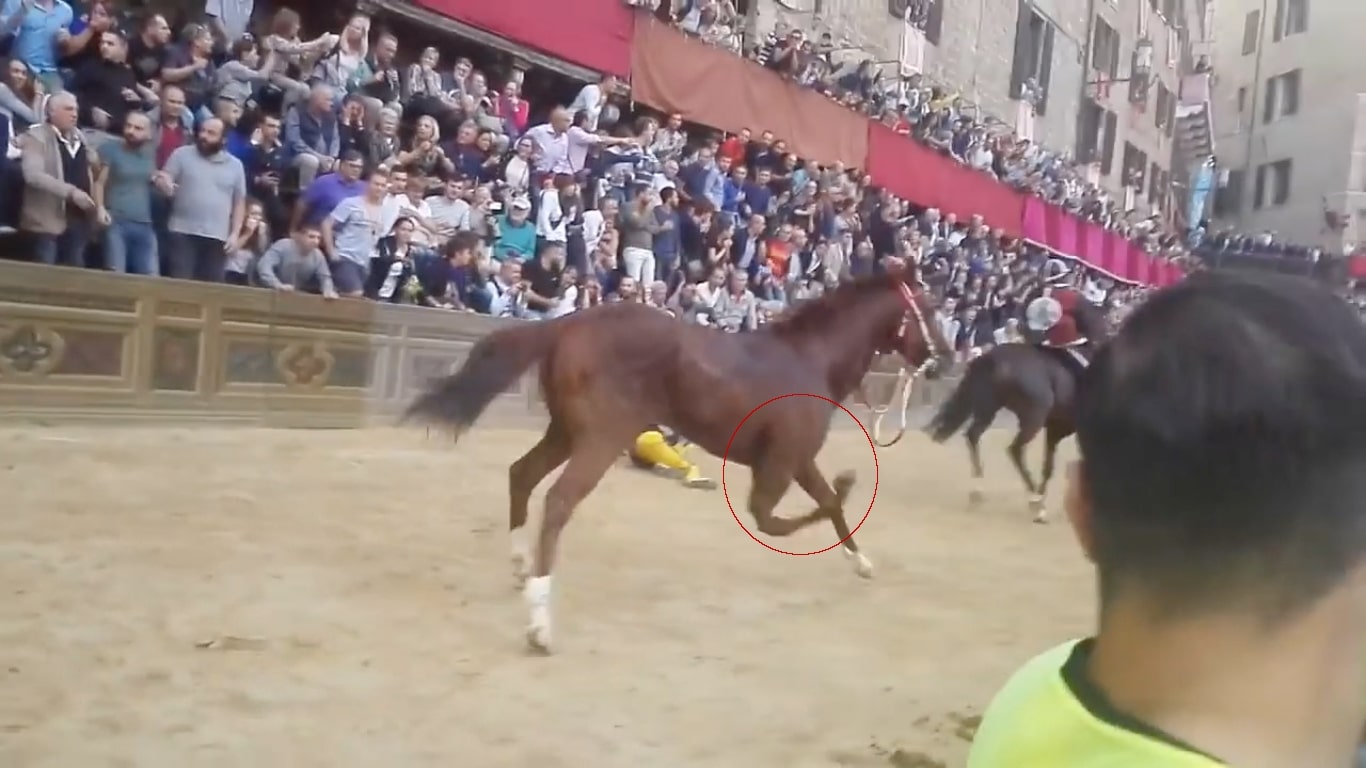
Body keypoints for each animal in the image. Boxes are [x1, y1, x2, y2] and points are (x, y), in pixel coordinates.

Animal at [401, 270, 950, 650]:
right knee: (556, 502)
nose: (944, 359)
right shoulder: (779, 464)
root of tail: (569, 322)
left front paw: (863, 563)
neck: (808, 360)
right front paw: (850, 483)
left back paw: (520, 567)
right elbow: (776, 518)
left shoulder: (799, 459)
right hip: (600, 438)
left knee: (523, 474)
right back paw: (540, 625)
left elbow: (829, 504)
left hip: (566, 432)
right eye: (929, 307)